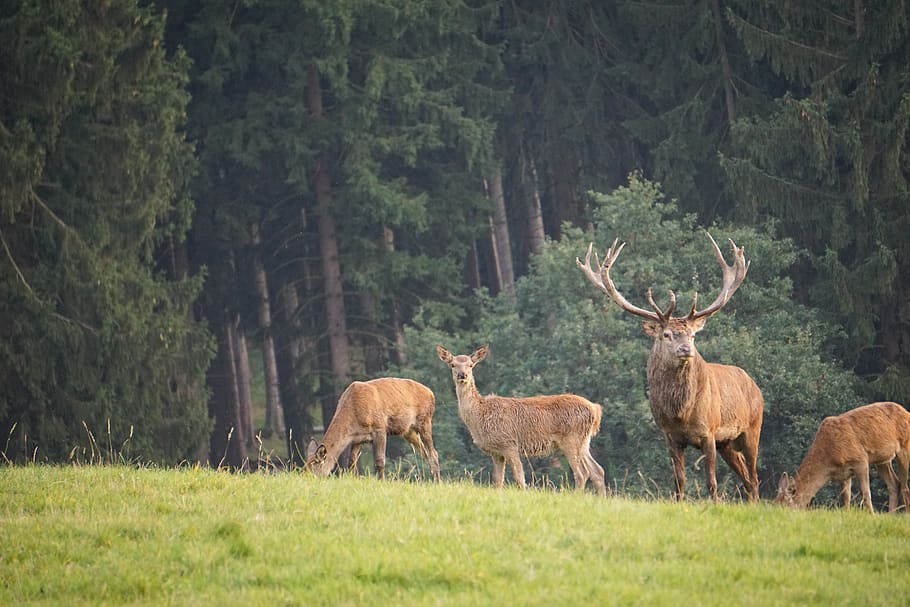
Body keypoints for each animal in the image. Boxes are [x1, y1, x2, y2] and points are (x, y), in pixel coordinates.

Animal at [305, 377, 441, 481]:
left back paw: (437, 483)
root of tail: (431, 393)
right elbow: (351, 462)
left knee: (433, 453)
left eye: (315, 463)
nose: (306, 477)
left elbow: (380, 461)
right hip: (408, 431)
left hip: (425, 420)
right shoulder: (357, 438)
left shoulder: (380, 428)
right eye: (304, 465)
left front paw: (382, 482)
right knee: (426, 453)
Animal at [436, 344, 607, 496]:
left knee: (582, 473)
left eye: (471, 365)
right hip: (583, 441)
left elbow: (519, 478)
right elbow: (498, 481)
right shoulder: (496, 452)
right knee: (597, 470)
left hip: (571, 438)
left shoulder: (509, 443)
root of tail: (595, 409)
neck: (479, 415)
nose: (462, 375)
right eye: (452, 364)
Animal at [576, 232, 763, 501]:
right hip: (727, 443)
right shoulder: (670, 436)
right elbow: (679, 481)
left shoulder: (709, 431)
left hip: (752, 428)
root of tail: (755, 386)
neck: (681, 413)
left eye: (693, 335)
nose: (686, 349)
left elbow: (711, 482)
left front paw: (714, 503)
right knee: (747, 480)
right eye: (666, 334)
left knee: (754, 477)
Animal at [775, 401, 910, 513]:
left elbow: (866, 493)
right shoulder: (844, 473)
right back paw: (890, 514)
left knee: (904, 486)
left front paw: (872, 515)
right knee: (894, 483)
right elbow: (846, 498)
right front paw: (846, 514)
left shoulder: (861, 459)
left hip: (904, 448)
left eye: (784, 506)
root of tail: (906, 412)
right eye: (775, 502)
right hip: (882, 459)